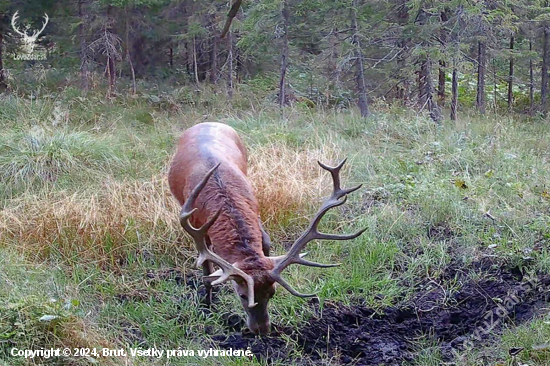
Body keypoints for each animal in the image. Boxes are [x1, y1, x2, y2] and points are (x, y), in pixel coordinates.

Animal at [169, 123, 366, 334]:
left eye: (272, 292)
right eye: (242, 295)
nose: (262, 329)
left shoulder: (256, 214)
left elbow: (266, 245)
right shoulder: (200, 230)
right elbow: (207, 274)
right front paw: (208, 306)